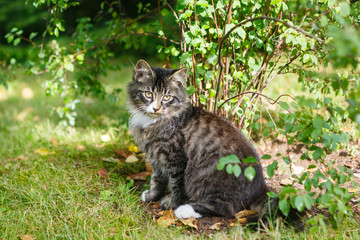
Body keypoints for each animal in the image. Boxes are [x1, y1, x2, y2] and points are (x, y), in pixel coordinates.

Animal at [127, 59, 278, 220]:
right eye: (148, 94)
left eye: (166, 97)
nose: (156, 108)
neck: (154, 121)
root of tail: (261, 187)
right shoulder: (156, 157)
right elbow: (156, 180)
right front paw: (152, 196)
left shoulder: (176, 159)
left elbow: (176, 185)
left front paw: (171, 204)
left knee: (227, 208)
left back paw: (184, 210)